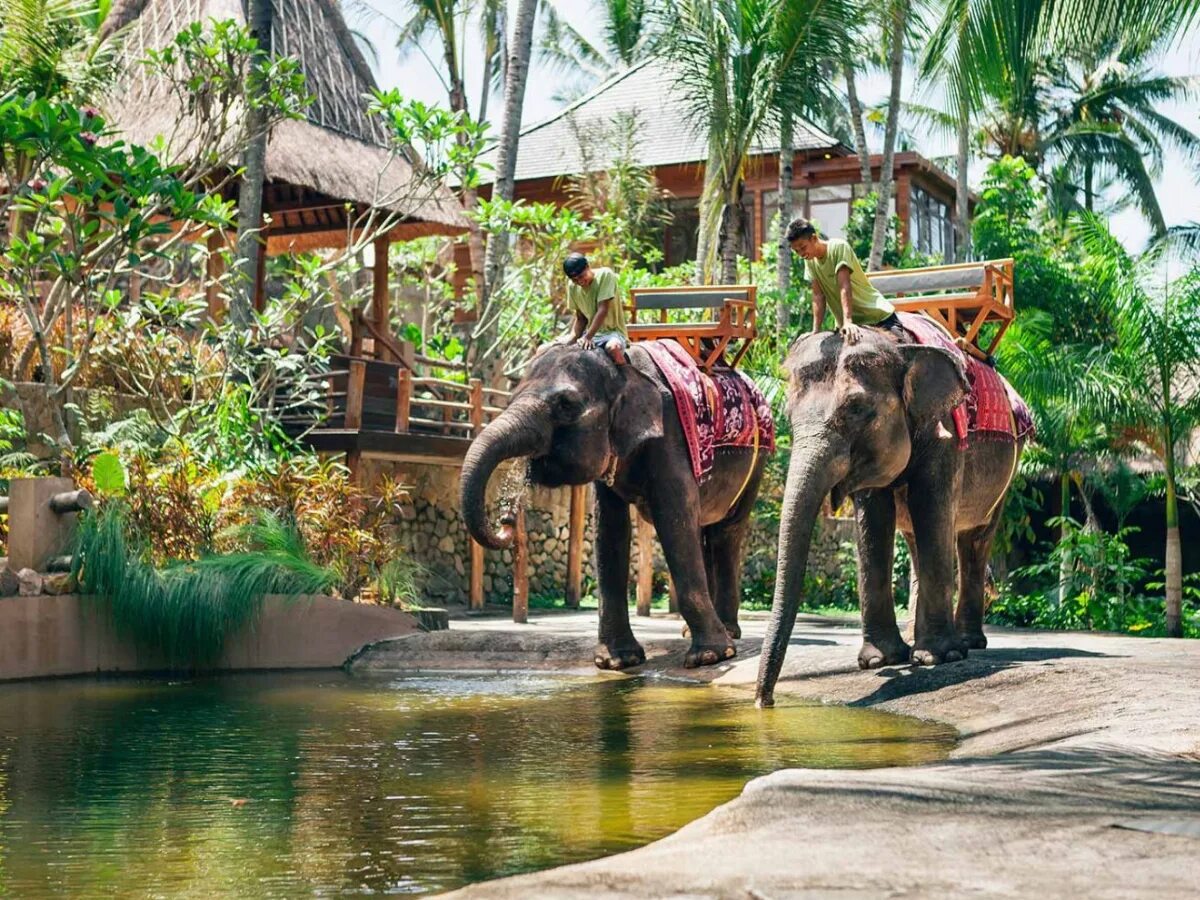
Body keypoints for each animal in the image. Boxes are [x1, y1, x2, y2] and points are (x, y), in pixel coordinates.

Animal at [458, 343, 768, 672]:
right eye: (512, 398)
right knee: (705, 530)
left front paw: (709, 657)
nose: (505, 518)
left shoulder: (671, 438)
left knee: (726, 532)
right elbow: (610, 530)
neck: (623, 368)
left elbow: (674, 521)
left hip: (757, 463)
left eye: (566, 405)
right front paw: (617, 662)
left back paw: (728, 633)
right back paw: (696, 631)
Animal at [753, 328, 1027, 710]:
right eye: (789, 415)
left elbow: (931, 507)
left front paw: (938, 658)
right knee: (915, 539)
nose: (764, 702)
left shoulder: (945, 431)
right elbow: (874, 520)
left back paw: (967, 643)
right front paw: (880, 661)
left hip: (1007, 469)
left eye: (856, 409)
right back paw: (919, 637)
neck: (896, 346)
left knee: (974, 539)